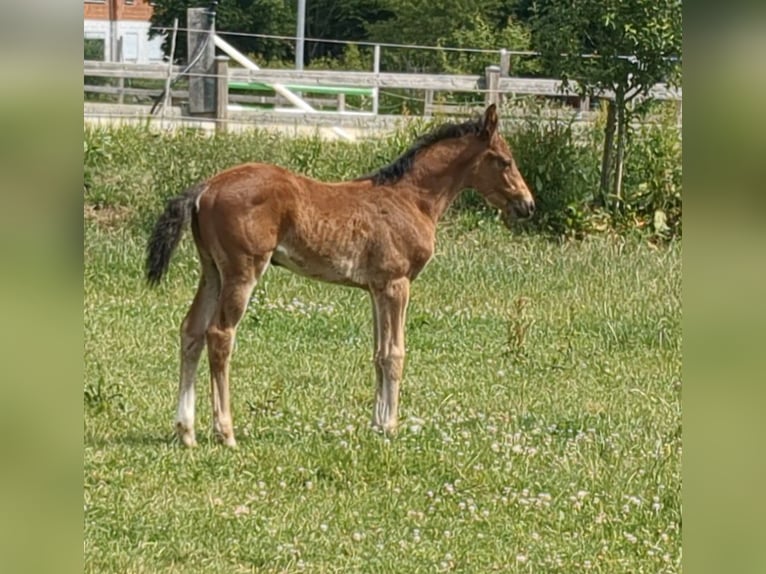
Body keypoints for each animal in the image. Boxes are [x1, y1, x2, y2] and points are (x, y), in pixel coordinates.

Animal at [145, 104, 535, 447]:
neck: (412, 199)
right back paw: (225, 433)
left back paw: (186, 432)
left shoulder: (377, 288)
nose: (528, 205)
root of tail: (207, 186)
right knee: (219, 335)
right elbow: (395, 354)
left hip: (212, 271)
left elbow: (378, 354)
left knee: (191, 331)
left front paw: (377, 425)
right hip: (243, 271)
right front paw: (391, 428)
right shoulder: (397, 284)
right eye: (505, 161)